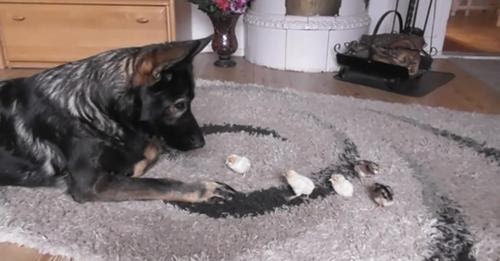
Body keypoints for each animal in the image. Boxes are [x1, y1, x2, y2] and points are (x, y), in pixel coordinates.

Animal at [0, 36, 236, 203]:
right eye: (179, 105)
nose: (201, 143)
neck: (95, 106)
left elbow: (150, 149)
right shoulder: (91, 184)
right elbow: (157, 182)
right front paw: (202, 188)